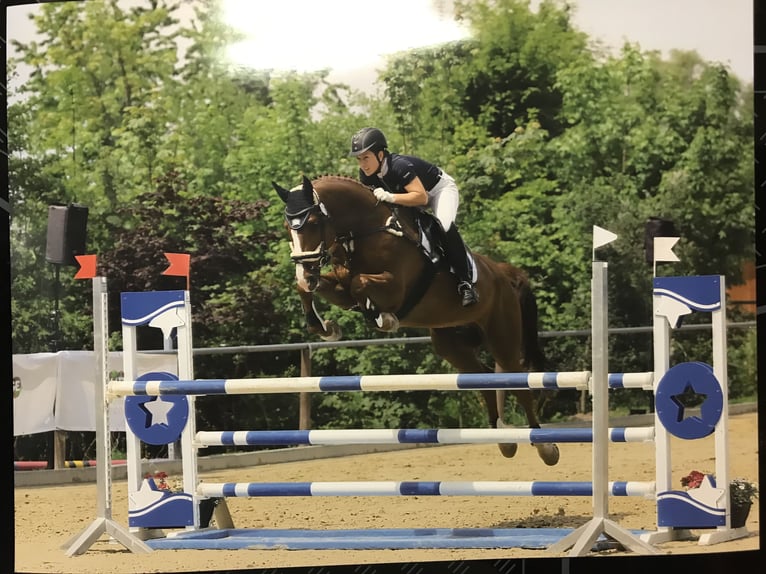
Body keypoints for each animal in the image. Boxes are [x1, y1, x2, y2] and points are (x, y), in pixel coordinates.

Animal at [272, 175, 559, 465]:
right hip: (450, 343)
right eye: (287, 226)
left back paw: (545, 446)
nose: (306, 272)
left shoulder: (395, 288)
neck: (364, 230)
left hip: (502, 334)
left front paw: (383, 319)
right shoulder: (340, 288)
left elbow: (360, 283)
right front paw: (326, 327)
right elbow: (317, 288)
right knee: (484, 378)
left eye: (313, 222)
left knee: (517, 382)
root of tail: (502, 272)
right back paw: (504, 439)